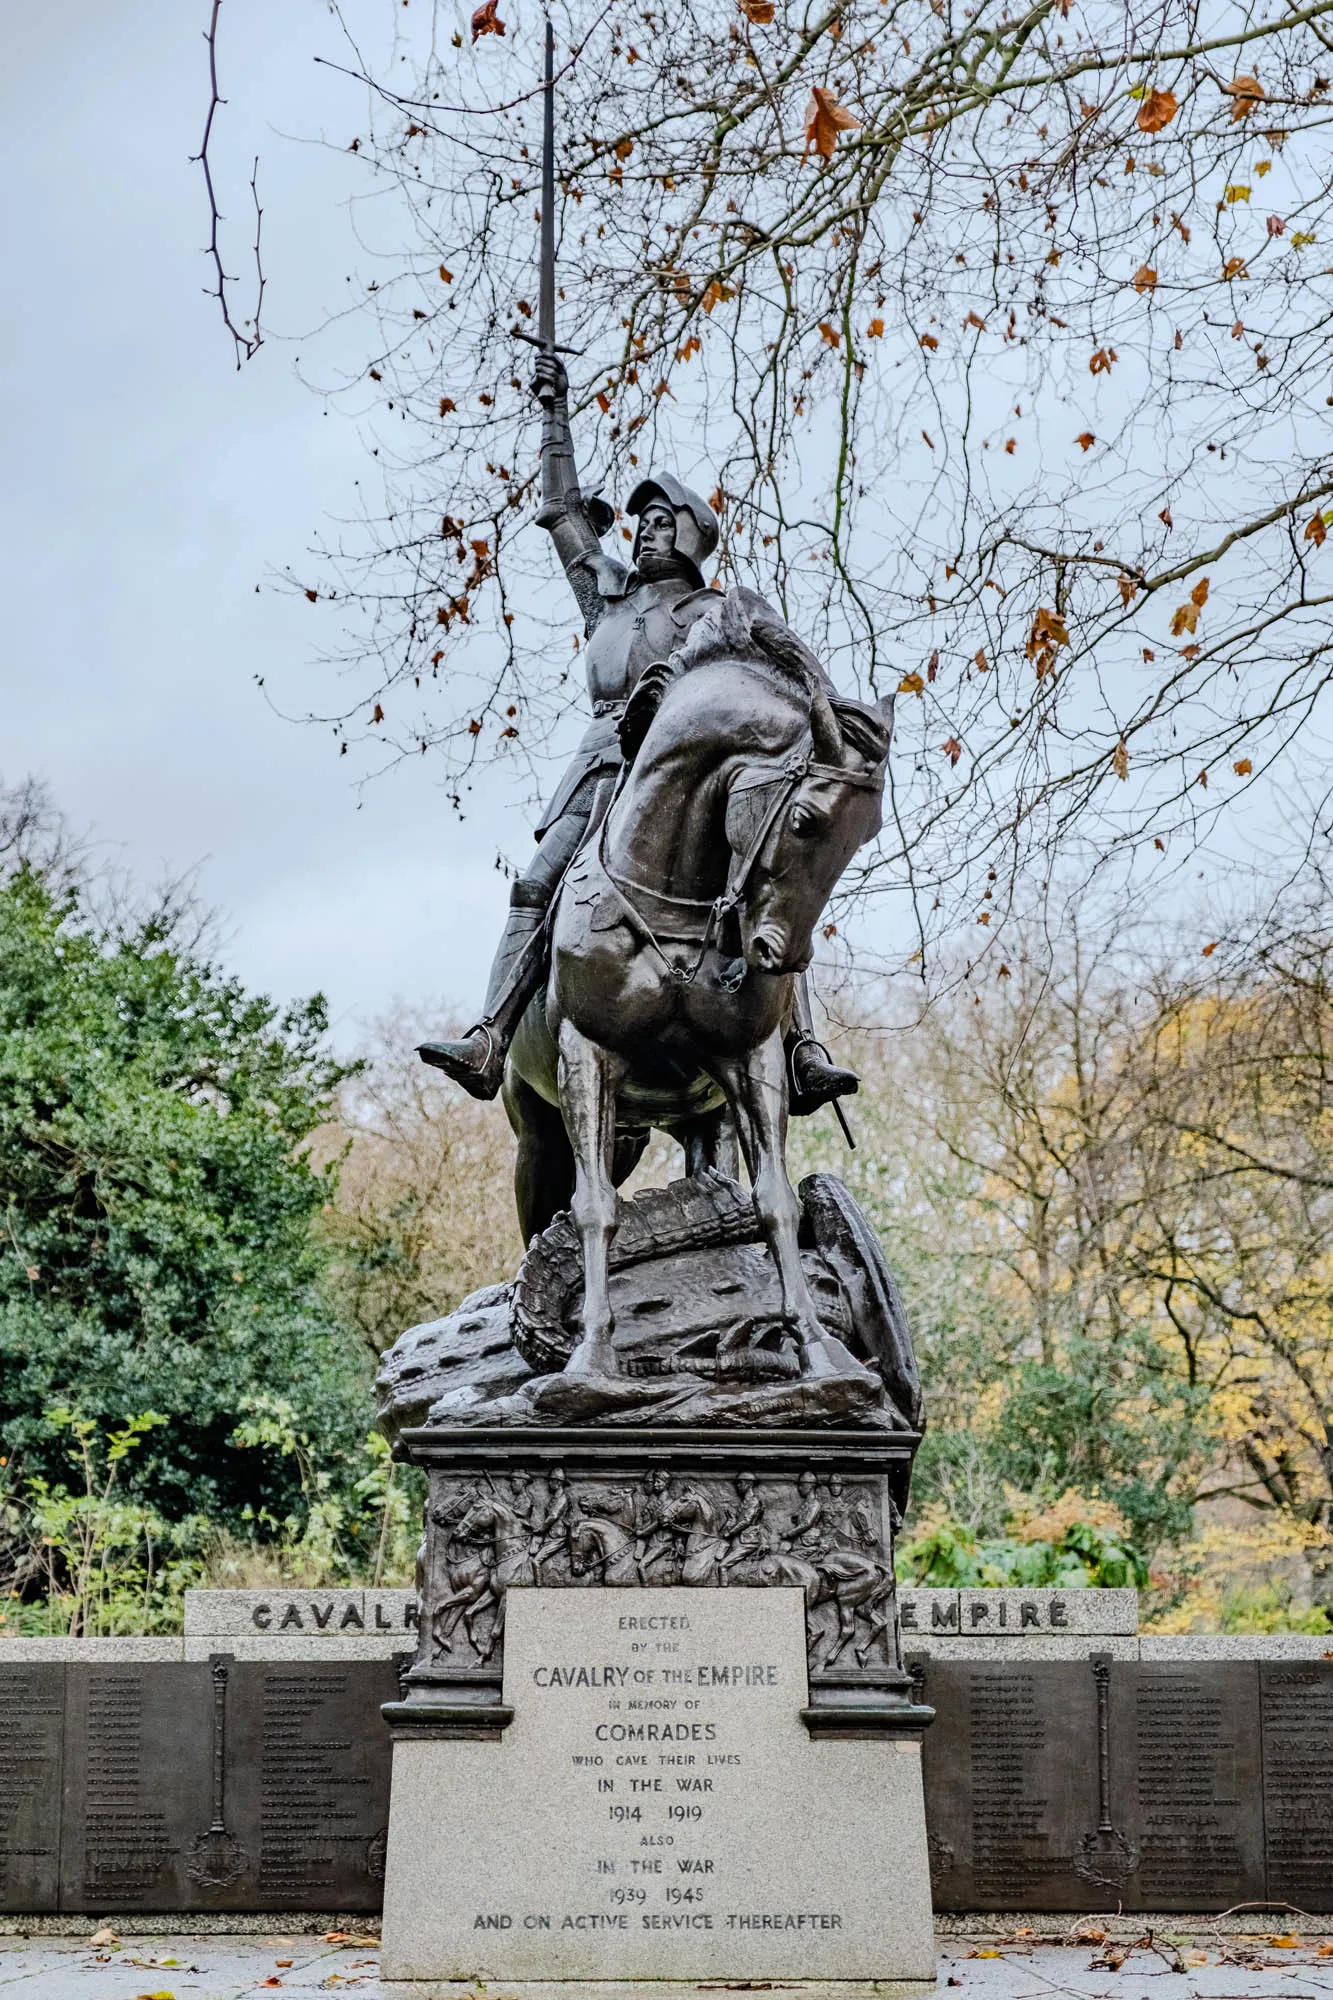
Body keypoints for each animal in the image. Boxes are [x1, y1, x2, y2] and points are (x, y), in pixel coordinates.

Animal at [504, 584, 888, 1384]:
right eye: (805, 820)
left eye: (864, 835)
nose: (779, 955)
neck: (673, 900)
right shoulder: (587, 1057)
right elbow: (595, 1209)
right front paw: (591, 1358)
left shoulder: (751, 1061)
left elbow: (774, 1201)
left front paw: (815, 1348)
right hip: (540, 1128)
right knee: (542, 1210)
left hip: (685, 1122)